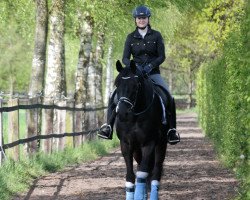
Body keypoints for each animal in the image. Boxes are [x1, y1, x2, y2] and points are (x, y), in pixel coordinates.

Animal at [114, 59, 169, 200]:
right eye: (117, 84)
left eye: (135, 85)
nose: (122, 113)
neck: (135, 116)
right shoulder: (126, 144)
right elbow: (130, 175)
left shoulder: (149, 143)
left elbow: (143, 172)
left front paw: (138, 195)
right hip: (136, 149)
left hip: (161, 145)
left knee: (155, 171)